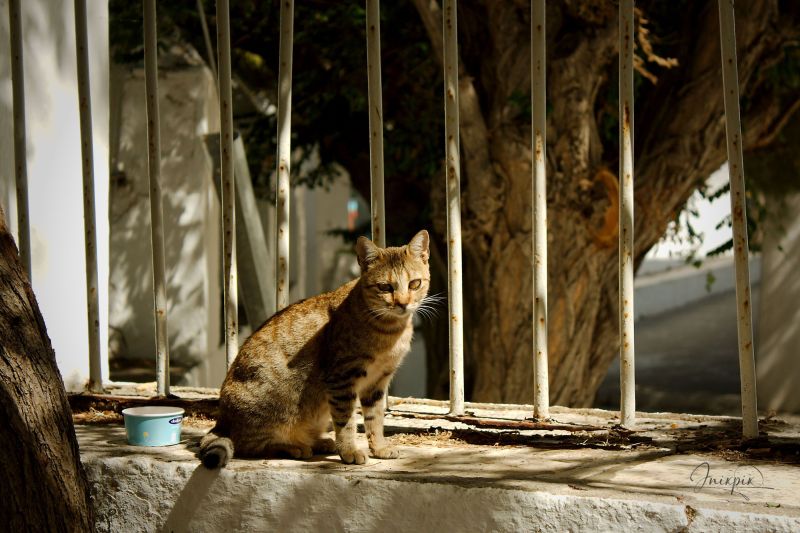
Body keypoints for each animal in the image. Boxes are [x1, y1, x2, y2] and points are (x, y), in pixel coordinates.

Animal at [202, 229, 432, 466]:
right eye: (385, 287)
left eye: (414, 283)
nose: (403, 304)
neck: (390, 331)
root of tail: (221, 422)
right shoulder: (341, 378)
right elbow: (346, 421)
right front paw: (349, 451)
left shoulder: (377, 383)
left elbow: (374, 419)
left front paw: (379, 447)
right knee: (249, 445)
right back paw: (294, 447)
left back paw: (319, 442)